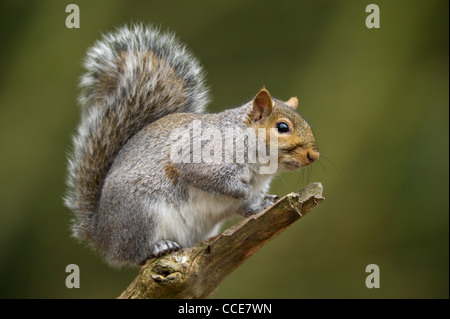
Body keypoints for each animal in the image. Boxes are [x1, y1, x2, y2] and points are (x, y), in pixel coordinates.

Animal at [65, 24, 320, 268]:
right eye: (282, 127)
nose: (314, 155)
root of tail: (102, 236)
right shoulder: (204, 155)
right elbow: (211, 178)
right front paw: (243, 190)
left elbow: (246, 206)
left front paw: (261, 204)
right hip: (141, 215)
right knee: (136, 253)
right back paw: (159, 246)